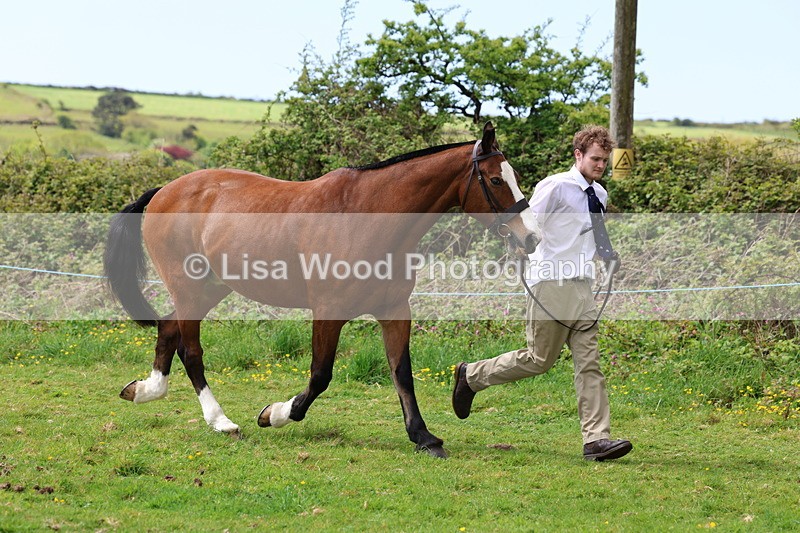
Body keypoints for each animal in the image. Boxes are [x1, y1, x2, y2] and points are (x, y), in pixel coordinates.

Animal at [103, 122, 541, 458]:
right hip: (188, 287)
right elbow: (320, 375)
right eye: (497, 179)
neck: (369, 218)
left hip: (210, 288)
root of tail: (163, 191)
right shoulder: (329, 312)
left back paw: (145, 390)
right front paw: (275, 413)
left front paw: (423, 436)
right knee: (191, 351)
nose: (531, 238)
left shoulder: (394, 310)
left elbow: (402, 372)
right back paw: (221, 421)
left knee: (168, 330)